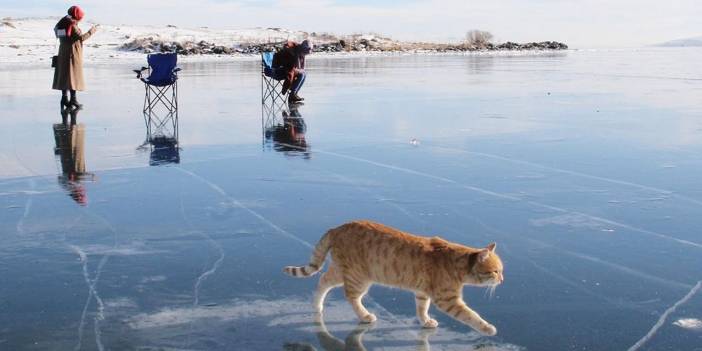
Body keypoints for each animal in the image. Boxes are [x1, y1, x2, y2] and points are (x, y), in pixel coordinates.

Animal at [286, 221, 506, 336]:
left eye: (501, 271)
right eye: (495, 271)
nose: (502, 280)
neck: (455, 262)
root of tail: (337, 228)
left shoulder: (422, 293)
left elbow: (421, 308)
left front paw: (425, 320)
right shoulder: (447, 300)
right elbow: (470, 315)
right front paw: (487, 328)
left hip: (341, 270)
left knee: (322, 280)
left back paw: (317, 305)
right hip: (359, 277)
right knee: (351, 296)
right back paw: (364, 315)